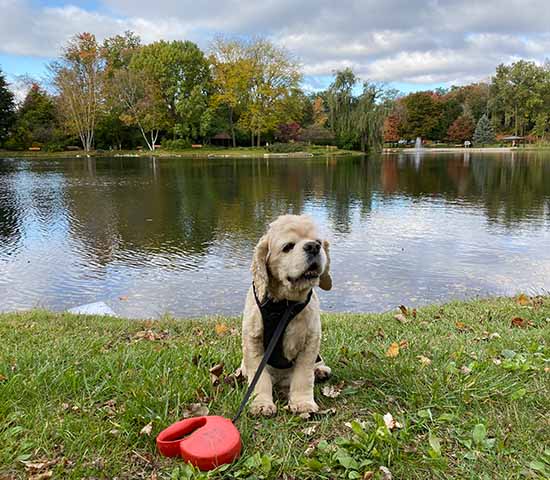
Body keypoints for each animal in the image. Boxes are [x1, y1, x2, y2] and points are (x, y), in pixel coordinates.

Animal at [240, 215, 332, 416]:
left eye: (319, 242)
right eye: (288, 246)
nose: (313, 246)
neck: (284, 305)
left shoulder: (310, 343)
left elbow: (303, 377)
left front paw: (303, 403)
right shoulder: (253, 341)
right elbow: (259, 378)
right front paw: (261, 404)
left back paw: (321, 371)